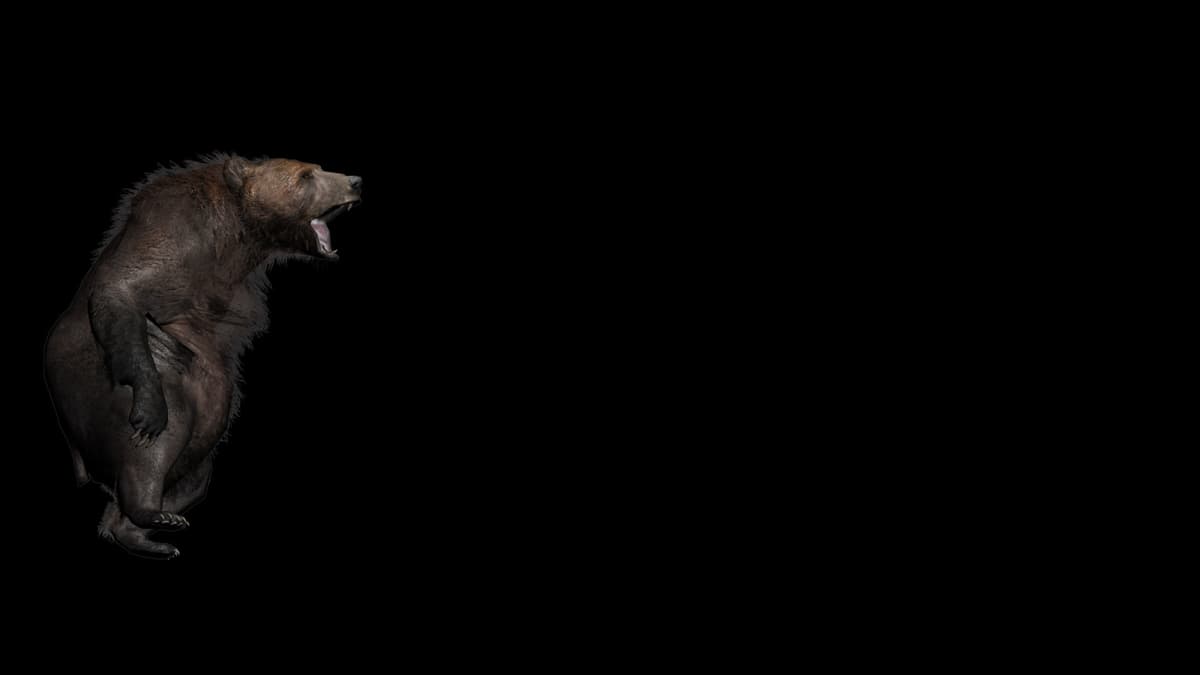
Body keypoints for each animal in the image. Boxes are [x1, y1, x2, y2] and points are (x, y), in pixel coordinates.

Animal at [43, 154, 362, 559]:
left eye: (319, 169)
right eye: (306, 176)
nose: (355, 181)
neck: (237, 236)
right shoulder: (172, 238)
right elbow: (118, 292)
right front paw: (149, 415)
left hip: (201, 445)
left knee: (196, 474)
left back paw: (151, 534)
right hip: (110, 389)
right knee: (161, 436)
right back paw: (151, 509)